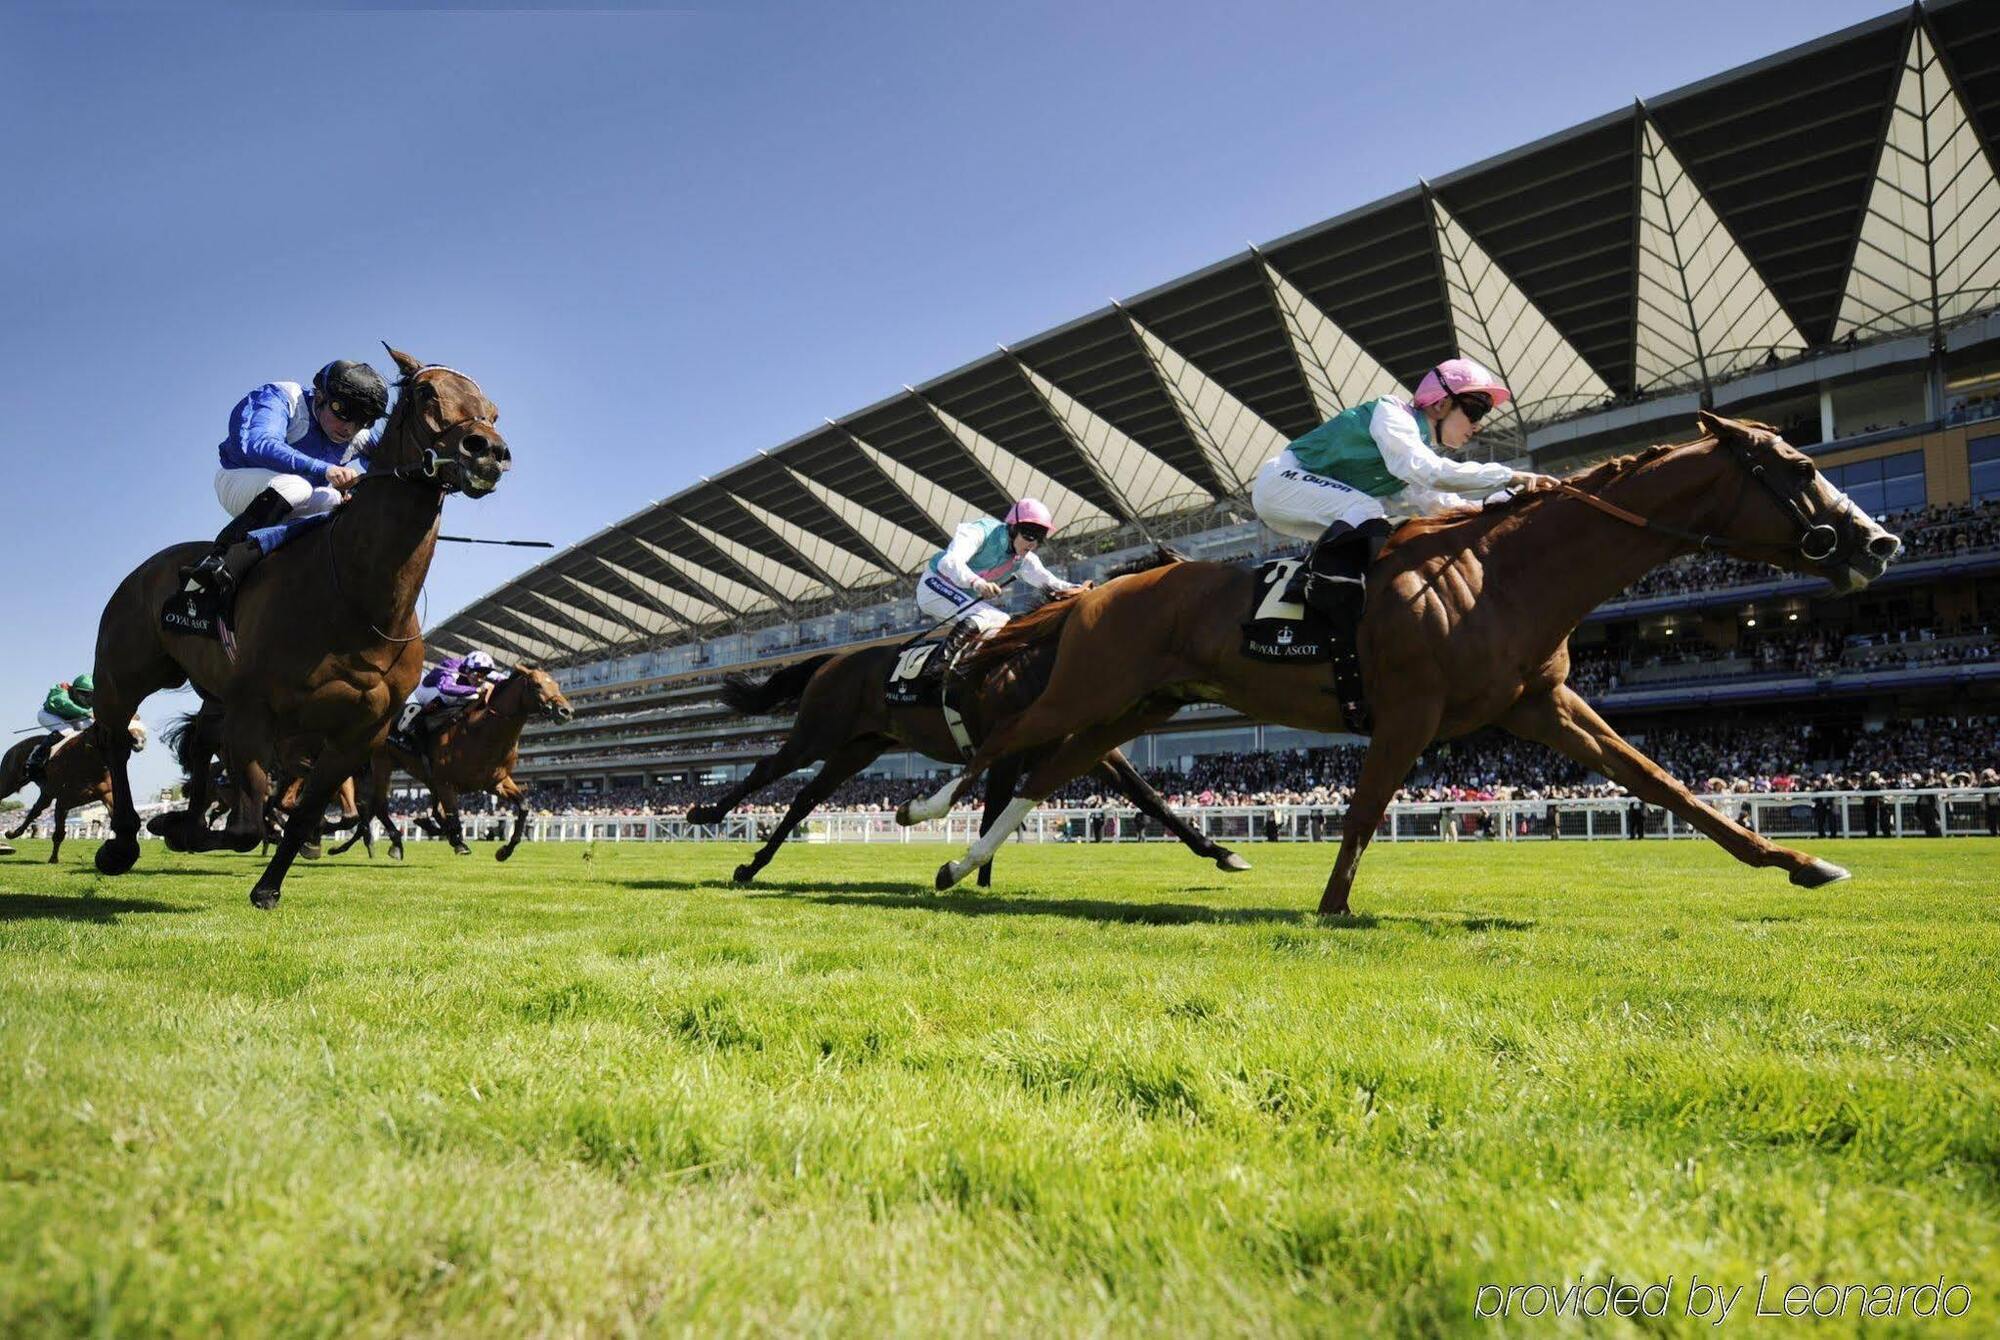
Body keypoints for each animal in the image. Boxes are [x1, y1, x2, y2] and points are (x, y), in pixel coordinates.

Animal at [89, 350, 512, 912]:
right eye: (426, 394)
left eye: (493, 411)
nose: (487, 452)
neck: (357, 598)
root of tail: (146, 571)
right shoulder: (254, 710)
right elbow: (249, 824)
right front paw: (180, 830)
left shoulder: (359, 734)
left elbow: (301, 814)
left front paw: (267, 884)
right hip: (123, 674)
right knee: (114, 742)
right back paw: (123, 843)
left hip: (213, 693)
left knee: (198, 743)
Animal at [324, 668, 568, 868]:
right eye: (536, 685)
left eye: (557, 684)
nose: (565, 710)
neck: (481, 731)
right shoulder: (445, 782)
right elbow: (453, 815)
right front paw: (459, 843)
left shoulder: (495, 782)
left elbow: (524, 806)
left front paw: (505, 850)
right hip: (382, 762)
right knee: (379, 805)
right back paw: (394, 842)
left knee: (375, 809)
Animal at [908, 414, 1904, 920]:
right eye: (1799, 466)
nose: (1880, 542)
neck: (1502, 569)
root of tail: (1103, 588)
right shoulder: (1411, 711)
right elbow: (1363, 811)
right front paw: (1332, 906)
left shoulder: (1542, 703)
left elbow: (1664, 783)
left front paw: (1798, 861)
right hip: (1097, 684)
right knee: (1009, 742)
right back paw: (925, 813)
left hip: (1142, 704)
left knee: (1053, 768)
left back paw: (962, 867)